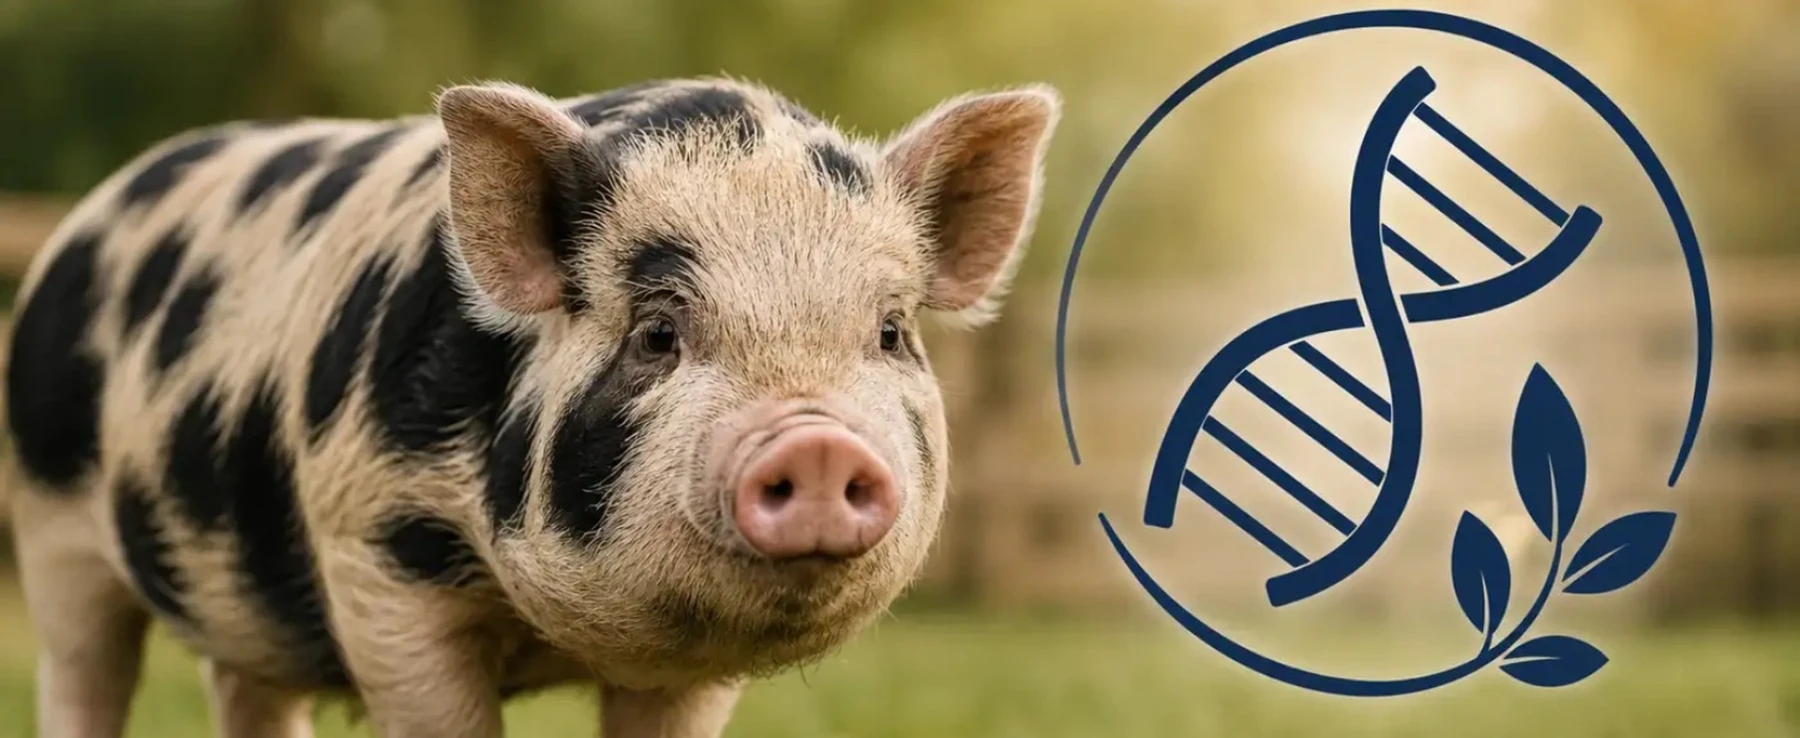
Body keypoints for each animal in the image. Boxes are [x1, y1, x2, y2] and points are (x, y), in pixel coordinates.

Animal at [5, 76, 1059, 738]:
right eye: (657, 334)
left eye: (888, 332)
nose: (817, 443)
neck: (548, 640)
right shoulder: (378, 556)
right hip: (52, 527)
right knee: (84, 672)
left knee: (246, 688)